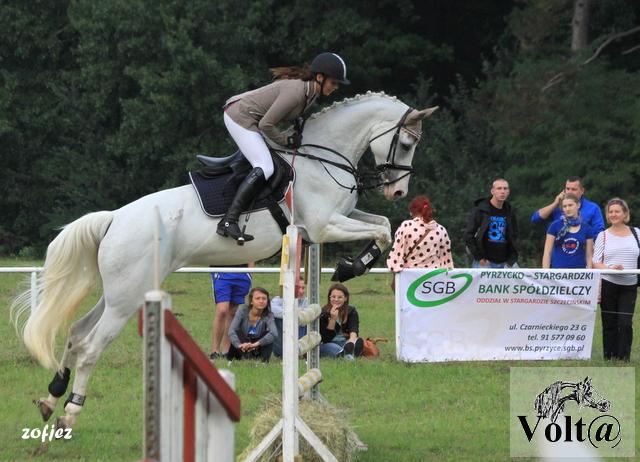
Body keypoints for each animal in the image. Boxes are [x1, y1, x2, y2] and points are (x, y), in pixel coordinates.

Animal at [10, 91, 436, 431]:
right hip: (127, 296)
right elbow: (381, 232)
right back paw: (70, 412)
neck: (322, 160)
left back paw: (50, 399)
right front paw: (352, 266)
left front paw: (353, 265)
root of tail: (114, 218)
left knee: (78, 332)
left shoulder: (338, 220)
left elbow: (382, 225)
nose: (398, 191)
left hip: (120, 291)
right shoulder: (323, 224)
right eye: (406, 143)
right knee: (91, 346)